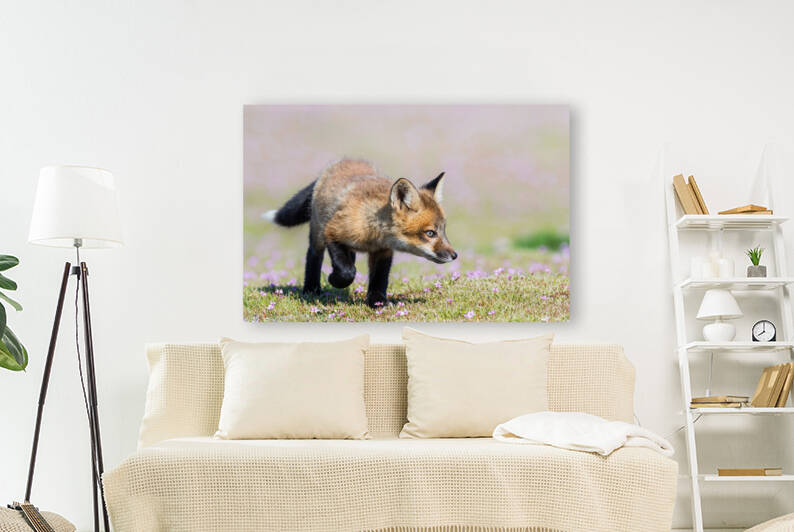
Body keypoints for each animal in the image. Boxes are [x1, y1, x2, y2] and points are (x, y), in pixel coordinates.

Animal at [264, 159, 457, 307]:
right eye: (430, 233)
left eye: (443, 230)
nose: (455, 255)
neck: (373, 235)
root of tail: (340, 162)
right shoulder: (332, 232)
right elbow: (347, 272)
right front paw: (334, 280)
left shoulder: (383, 252)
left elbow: (379, 279)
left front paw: (377, 302)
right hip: (318, 233)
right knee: (314, 257)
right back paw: (312, 290)